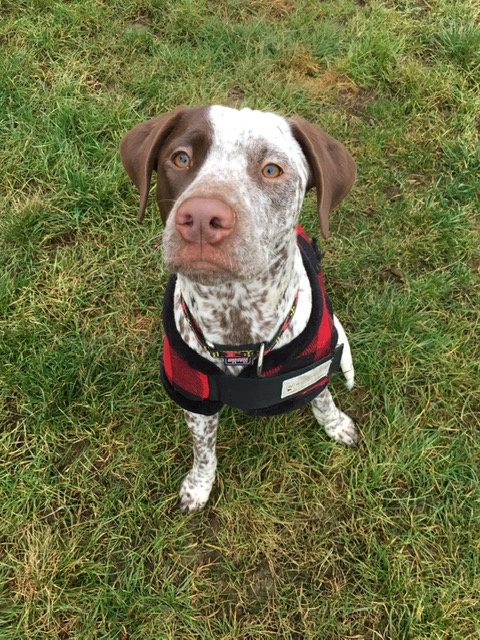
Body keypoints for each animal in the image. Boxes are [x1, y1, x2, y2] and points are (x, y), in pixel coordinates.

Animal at [120, 105, 357, 512]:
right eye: (180, 158)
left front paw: (336, 424)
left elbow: (323, 400)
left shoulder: (312, 371)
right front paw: (199, 486)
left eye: (272, 169)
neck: (236, 314)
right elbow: (204, 450)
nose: (201, 217)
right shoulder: (195, 396)